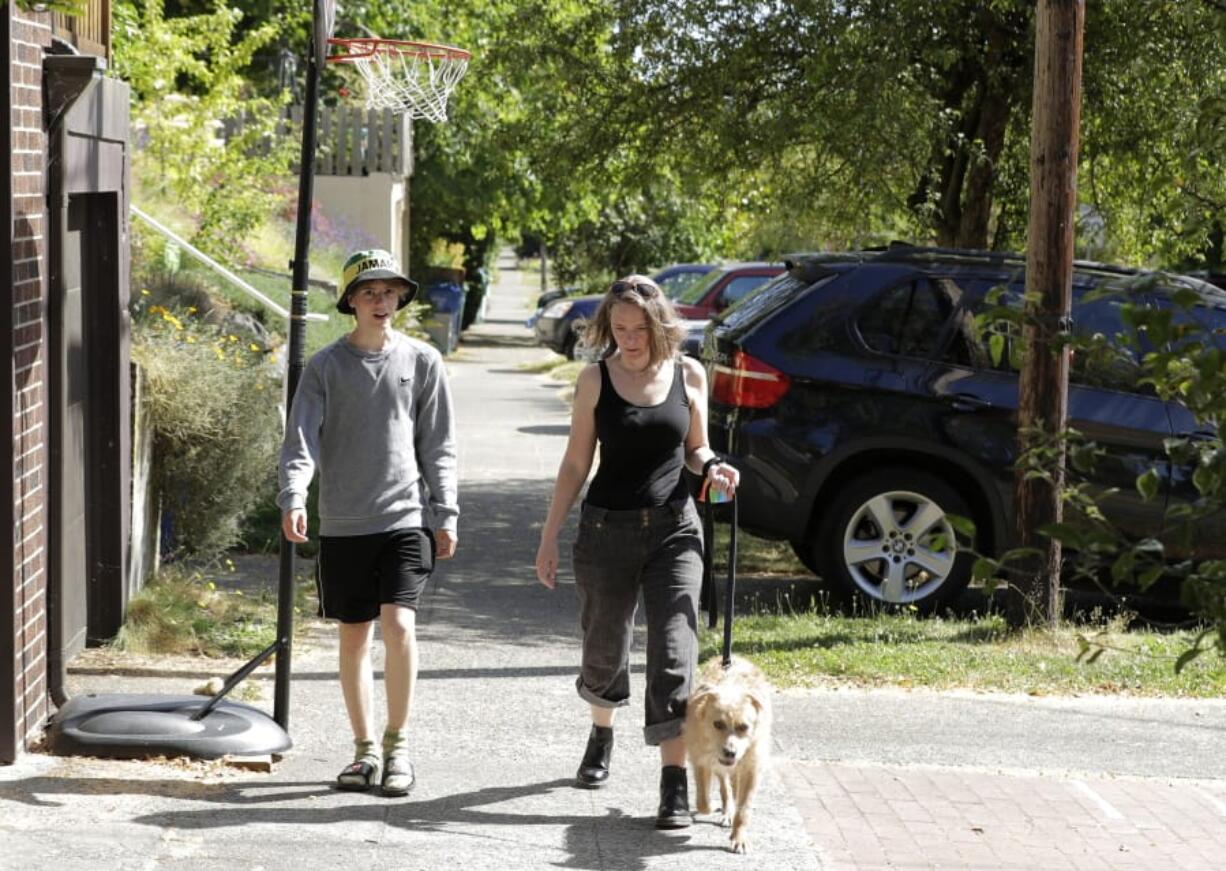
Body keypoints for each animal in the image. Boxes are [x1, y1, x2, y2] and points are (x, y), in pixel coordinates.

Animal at [686, 657, 769, 853]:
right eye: (717, 724)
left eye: (744, 727)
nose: (730, 752)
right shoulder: (700, 761)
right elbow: (703, 802)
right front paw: (715, 806)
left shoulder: (752, 768)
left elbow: (744, 808)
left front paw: (739, 838)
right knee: (725, 787)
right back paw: (726, 809)